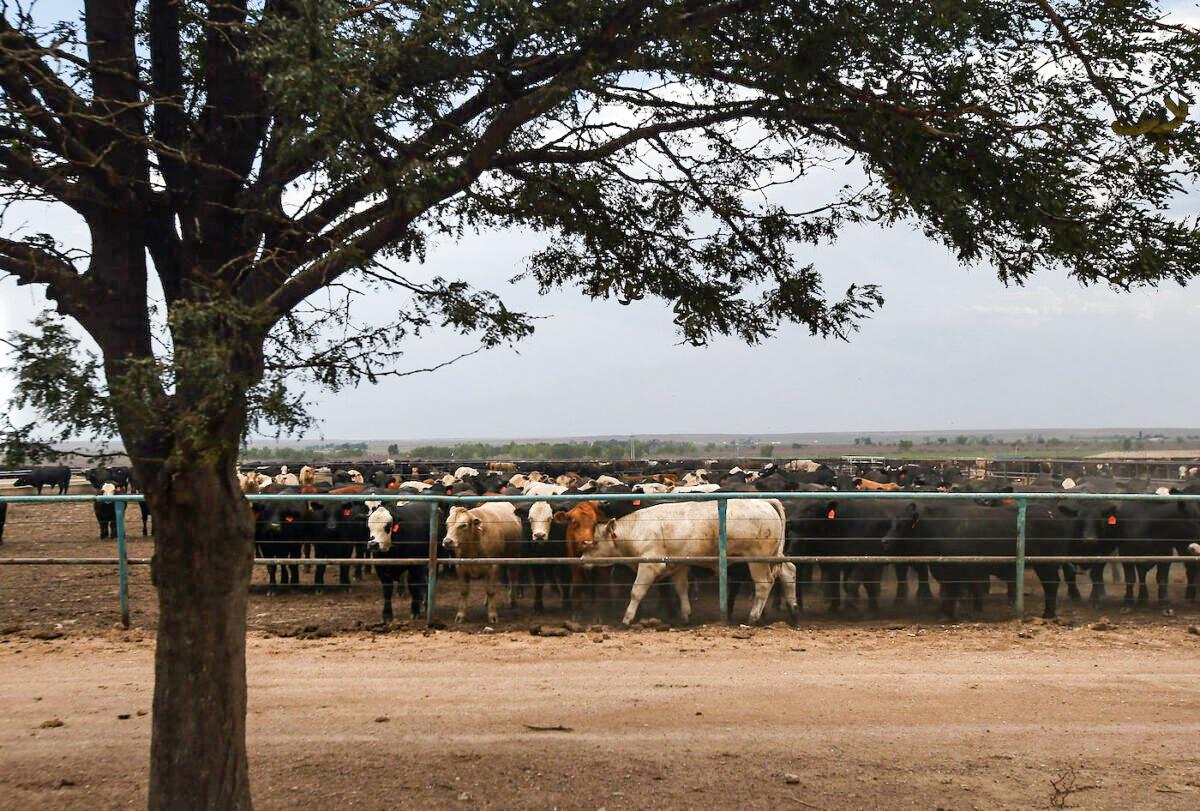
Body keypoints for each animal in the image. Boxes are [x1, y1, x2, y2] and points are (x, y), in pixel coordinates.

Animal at [579, 499, 797, 626]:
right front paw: (685, 616)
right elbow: (681, 589)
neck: (636, 530)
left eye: (595, 542)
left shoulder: (650, 565)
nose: (582, 561)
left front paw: (626, 619)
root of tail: (764, 501)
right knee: (788, 571)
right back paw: (793, 610)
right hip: (774, 555)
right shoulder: (678, 565)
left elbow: (636, 591)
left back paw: (753, 618)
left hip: (757, 559)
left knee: (764, 584)